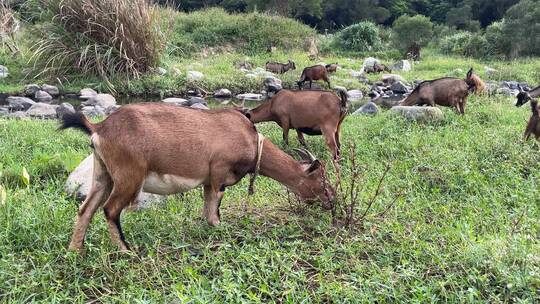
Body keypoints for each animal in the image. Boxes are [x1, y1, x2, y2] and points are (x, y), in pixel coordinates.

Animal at [61, 103, 336, 251]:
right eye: (321, 180)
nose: (332, 201)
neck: (251, 140)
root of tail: (99, 128)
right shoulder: (219, 174)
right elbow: (215, 212)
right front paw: (223, 231)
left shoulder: (208, 180)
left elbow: (207, 210)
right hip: (130, 175)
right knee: (110, 209)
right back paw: (126, 251)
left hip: (103, 174)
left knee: (86, 209)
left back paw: (75, 251)